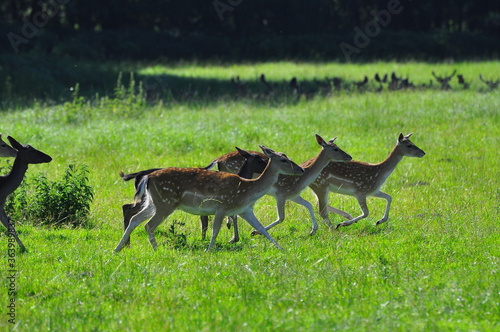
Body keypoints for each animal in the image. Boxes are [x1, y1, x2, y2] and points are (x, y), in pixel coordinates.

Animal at [114, 145, 304, 252]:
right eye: (283, 160)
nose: (301, 169)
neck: (248, 189)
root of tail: (147, 177)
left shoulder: (245, 210)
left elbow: (263, 229)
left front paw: (282, 249)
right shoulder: (222, 206)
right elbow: (215, 231)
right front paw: (209, 250)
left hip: (153, 202)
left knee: (135, 218)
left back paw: (117, 249)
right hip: (165, 203)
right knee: (148, 225)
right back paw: (156, 250)